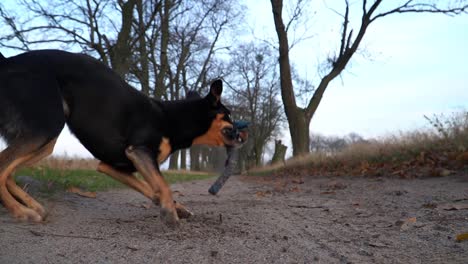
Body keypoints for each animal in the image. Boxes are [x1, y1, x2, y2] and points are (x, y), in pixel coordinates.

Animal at [0, 49, 247, 225]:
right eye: (229, 116)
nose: (243, 136)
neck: (173, 119)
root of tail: (8, 61)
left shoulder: (113, 166)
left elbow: (154, 189)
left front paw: (175, 207)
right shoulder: (138, 151)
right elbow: (163, 186)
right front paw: (170, 214)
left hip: (44, 141)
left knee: (9, 172)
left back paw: (33, 207)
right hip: (46, 127)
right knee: (3, 166)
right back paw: (21, 212)